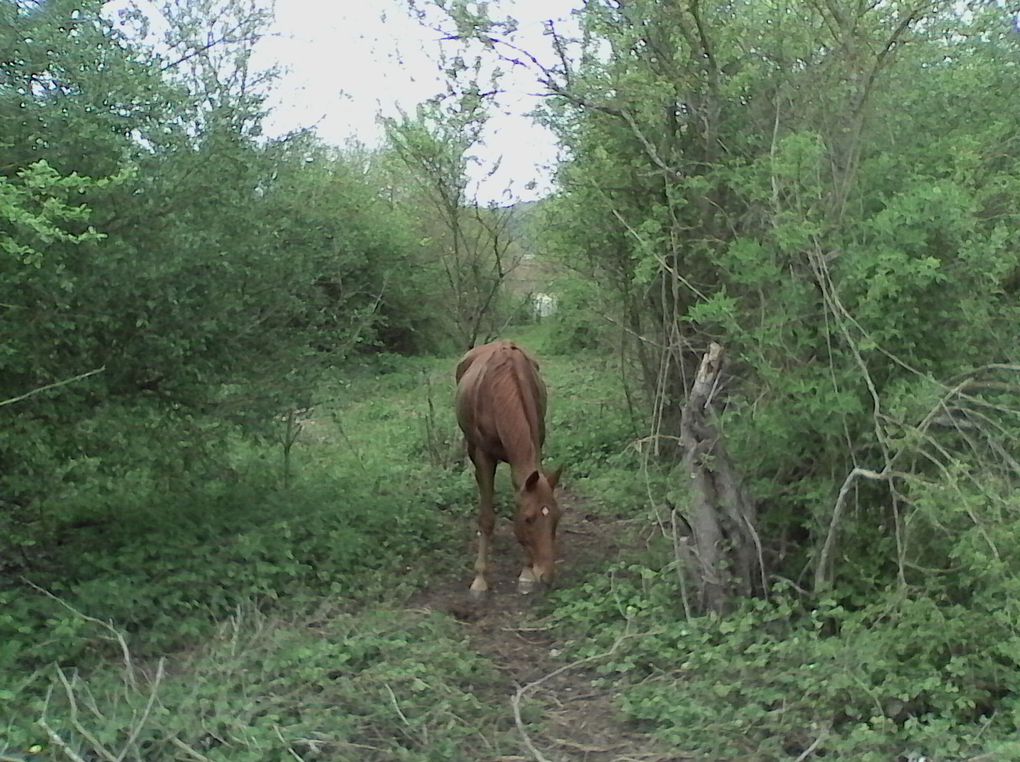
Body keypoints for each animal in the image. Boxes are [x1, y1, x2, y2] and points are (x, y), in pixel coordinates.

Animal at [456, 340, 567, 595]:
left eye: (556, 518)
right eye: (528, 519)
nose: (547, 576)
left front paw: (526, 573)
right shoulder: (484, 456)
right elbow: (487, 517)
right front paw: (480, 579)